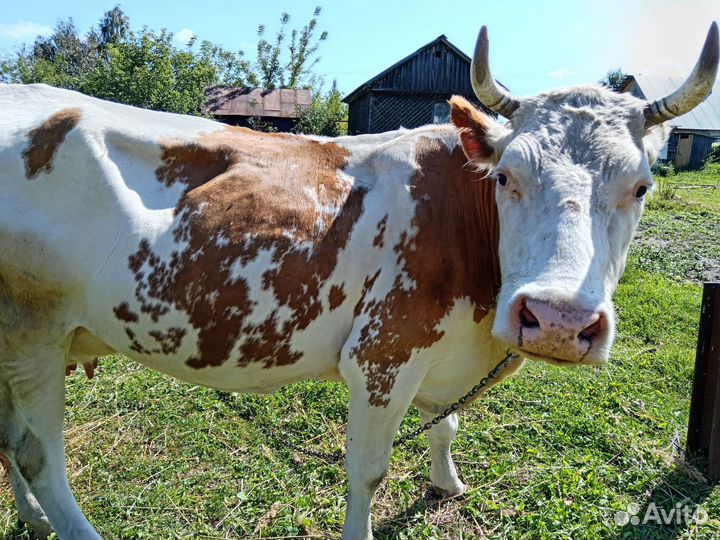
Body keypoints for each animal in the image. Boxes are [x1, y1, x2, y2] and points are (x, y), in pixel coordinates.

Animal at [0, 23, 717, 540]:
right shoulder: (383, 355)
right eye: (507, 175)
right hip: (35, 329)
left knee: (9, 438)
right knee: (39, 453)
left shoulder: (436, 354)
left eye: (642, 185)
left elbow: (445, 425)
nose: (559, 320)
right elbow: (368, 472)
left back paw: (32, 519)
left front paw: (447, 483)